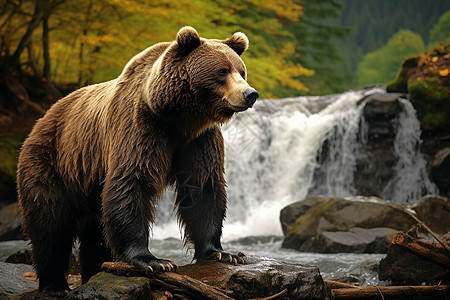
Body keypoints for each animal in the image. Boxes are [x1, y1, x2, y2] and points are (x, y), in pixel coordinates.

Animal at [16, 27, 256, 294]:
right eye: (222, 70)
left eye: (241, 71)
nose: (250, 94)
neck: (178, 117)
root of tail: (43, 117)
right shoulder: (140, 125)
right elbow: (132, 181)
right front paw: (153, 261)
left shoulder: (199, 140)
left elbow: (203, 187)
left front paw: (223, 253)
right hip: (52, 160)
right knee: (50, 224)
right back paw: (54, 284)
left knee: (95, 233)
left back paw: (95, 271)